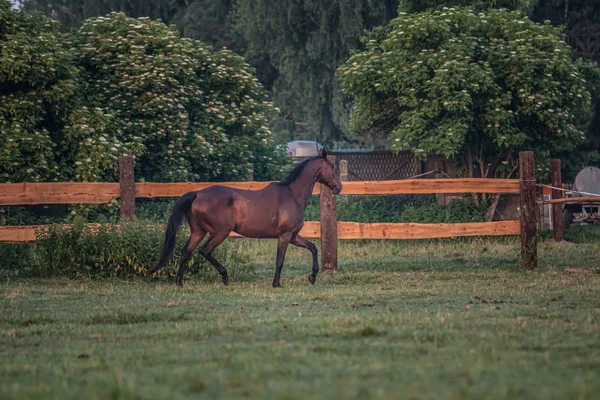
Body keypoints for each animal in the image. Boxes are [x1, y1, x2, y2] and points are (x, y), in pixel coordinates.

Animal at [150, 150, 342, 288]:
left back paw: (179, 283)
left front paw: (312, 277)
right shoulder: (285, 235)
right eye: (332, 167)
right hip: (220, 232)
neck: (292, 194)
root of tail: (197, 194)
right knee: (205, 251)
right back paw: (224, 276)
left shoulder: (294, 236)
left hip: (198, 232)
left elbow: (313, 248)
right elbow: (280, 260)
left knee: (186, 252)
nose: (339, 188)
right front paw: (276, 284)